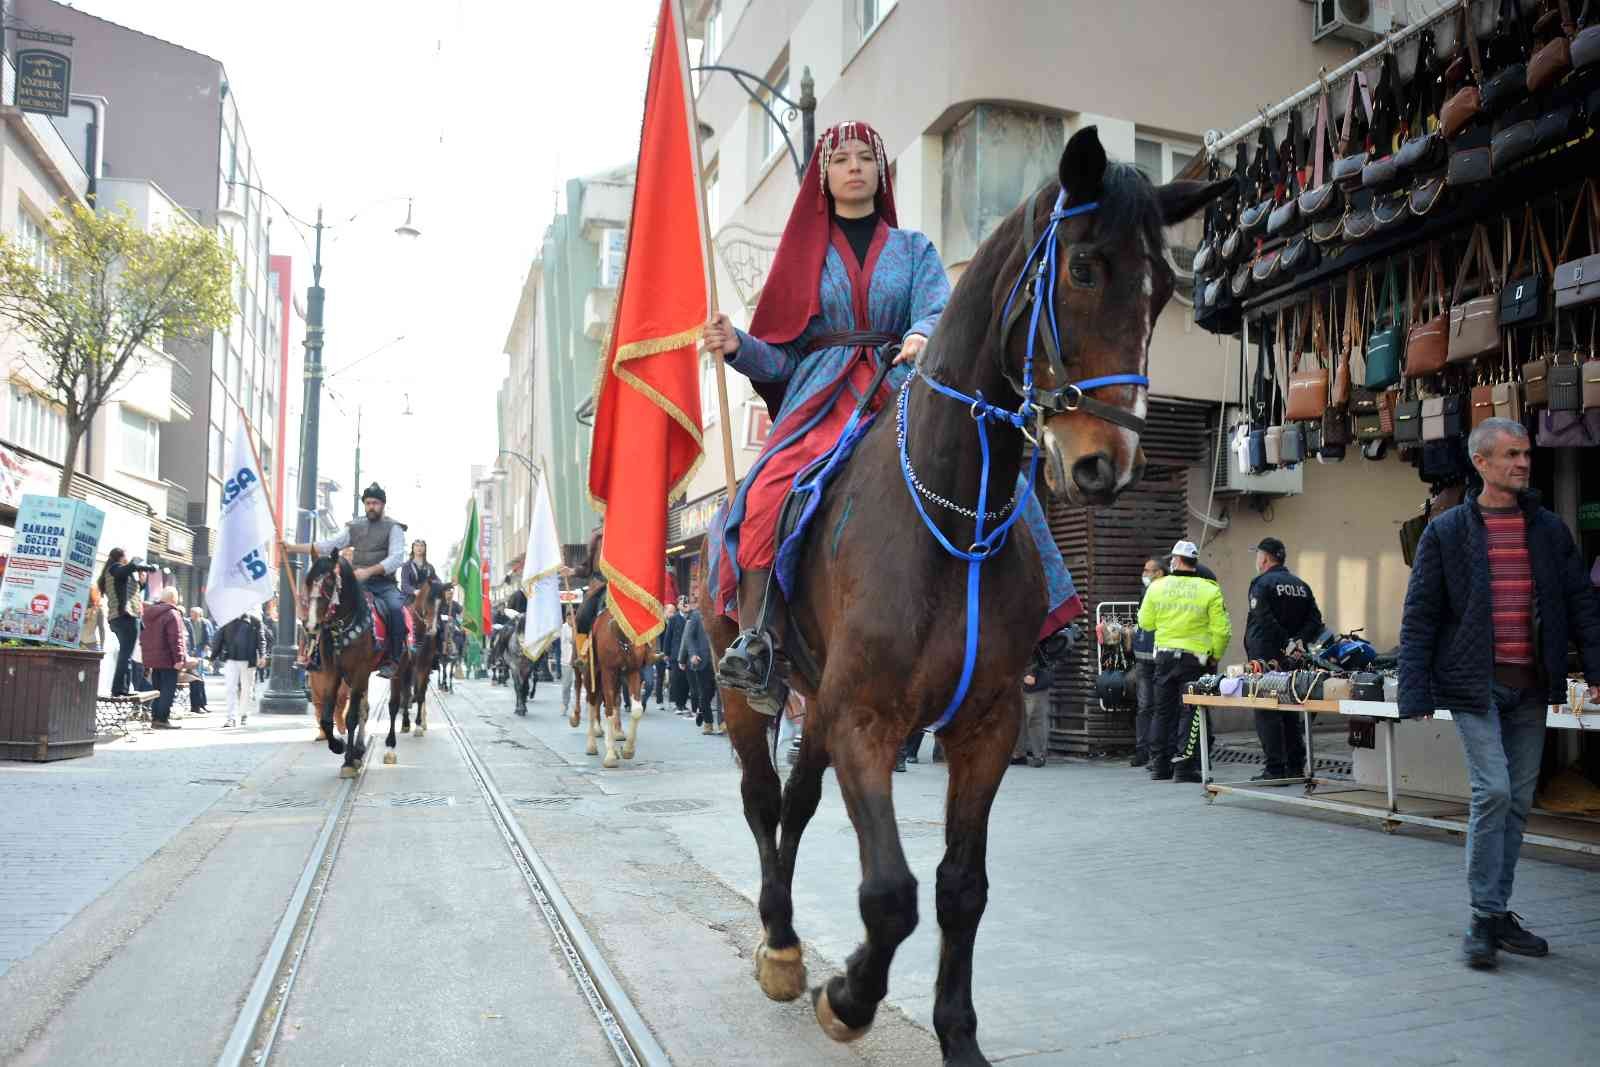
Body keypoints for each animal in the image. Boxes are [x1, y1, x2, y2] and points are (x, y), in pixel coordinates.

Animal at [302, 559, 384, 777]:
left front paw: (347, 761)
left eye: (330, 582)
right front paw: (338, 746)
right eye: (308, 581)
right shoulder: (333, 672)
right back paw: (359, 750)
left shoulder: (359, 671)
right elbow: (326, 718)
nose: (311, 625)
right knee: (365, 707)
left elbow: (351, 717)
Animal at [700, 129, 1222, 1062]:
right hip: (743, 689)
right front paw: (849, 996)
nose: (1109, 462)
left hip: (814, 698)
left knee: (796, 799)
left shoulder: (985, 726)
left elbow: (959, 887)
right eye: (1083, 267)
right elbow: (891, 892)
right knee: (763, 798)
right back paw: (783, 945)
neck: (948, 505)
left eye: (1164, 289)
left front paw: (957, 1033)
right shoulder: (866, 719)